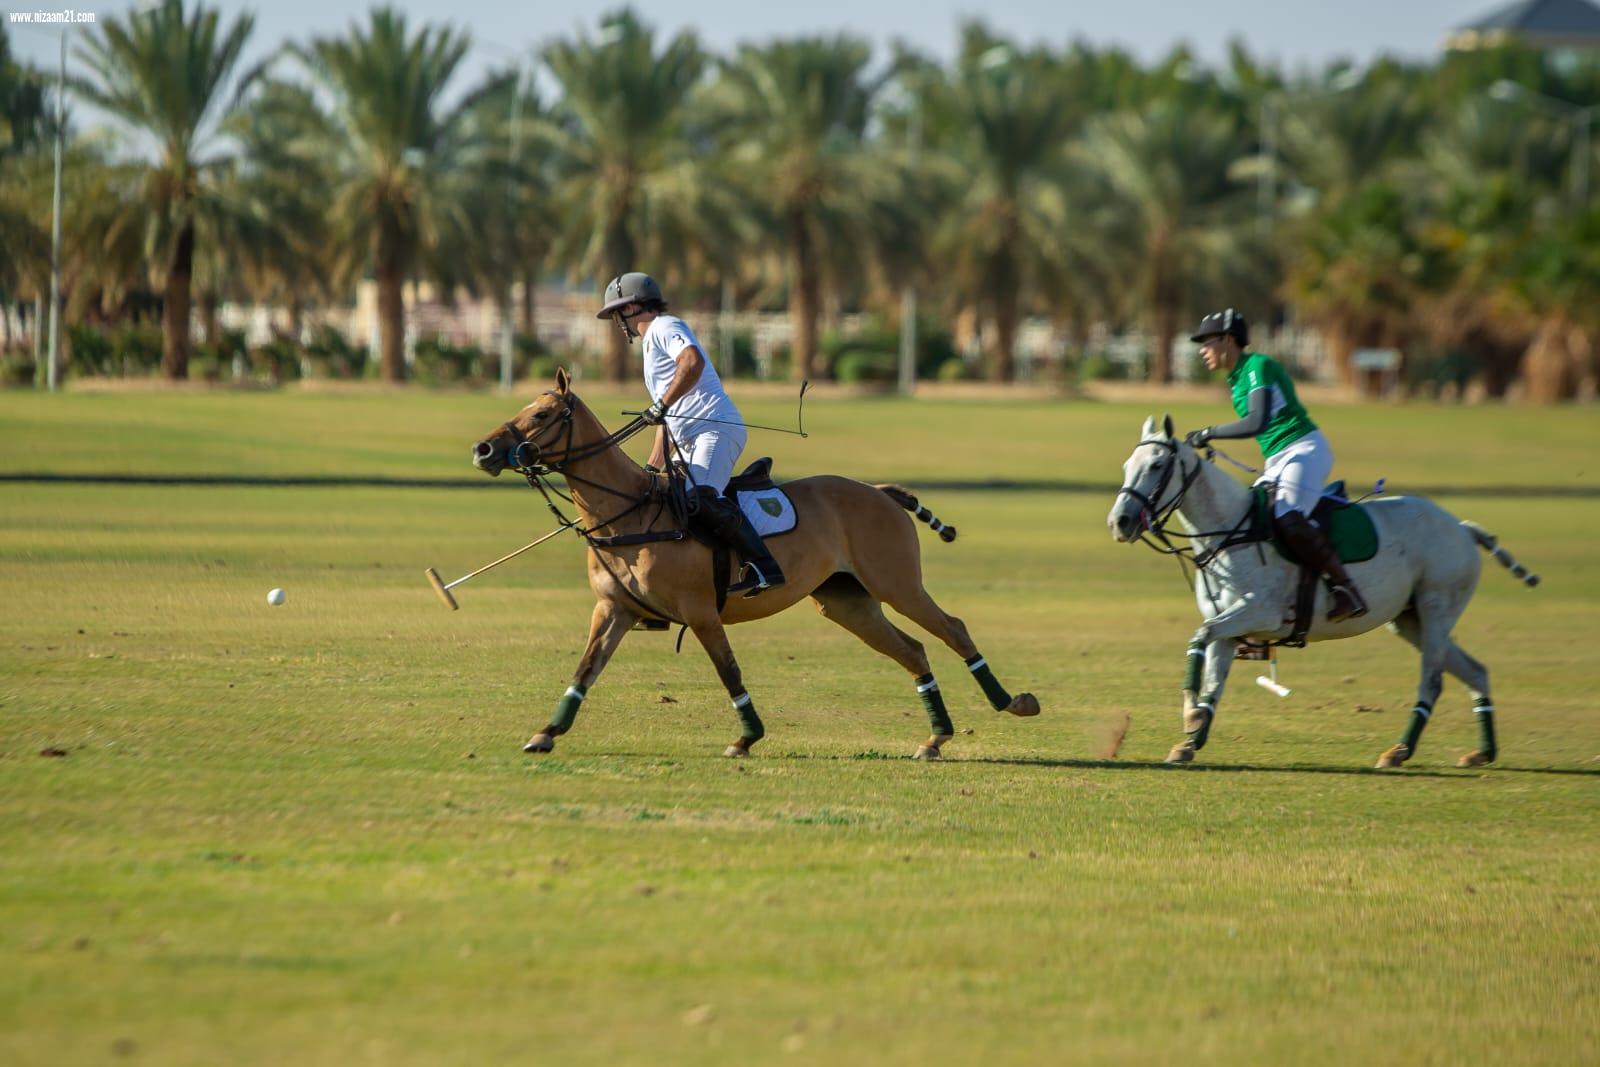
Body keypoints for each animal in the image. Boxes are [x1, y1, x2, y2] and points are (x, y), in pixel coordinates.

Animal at [467, 371, 1036, 764]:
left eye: (542, 414)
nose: (484, 448)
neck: (627, 513)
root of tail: (879, 491)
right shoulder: (614, 610)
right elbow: (585, 669)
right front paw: (545, 733)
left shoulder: (700, 610)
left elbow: (729, 670)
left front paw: (746, 737)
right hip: (847, 602)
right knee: (913, 649)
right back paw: (935, 738)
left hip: (896, 582)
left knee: (952, 628)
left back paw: (1013, 703)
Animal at [1107, 415, 1542, 767]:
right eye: (1128, 466)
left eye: (1157, 465)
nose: (1120, 522)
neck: (1231, 531)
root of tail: (1463, 528)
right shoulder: (1229, 627)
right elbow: (1213, 682)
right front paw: (1190, 738)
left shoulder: (1260, 612)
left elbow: (1198, 638)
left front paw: (1190, 718)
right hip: (1409, 619)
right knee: (1475, 670)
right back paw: (1482, 752)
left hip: (1436, 607)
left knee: (1433, 680)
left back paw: (1399, 751)